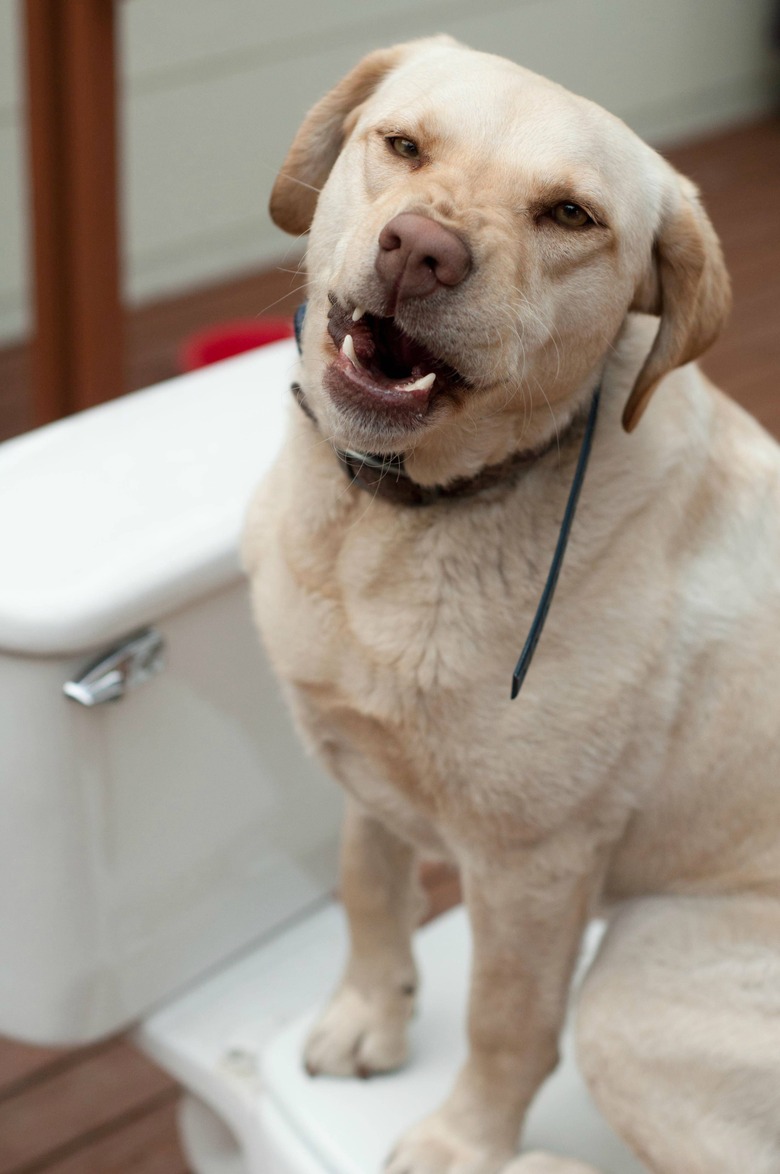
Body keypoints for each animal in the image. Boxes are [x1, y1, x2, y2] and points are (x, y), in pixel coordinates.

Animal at [246, 36, 780, 1174]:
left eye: (570, 215)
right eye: (403, 145)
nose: (421, 250)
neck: (389, 522)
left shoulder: (534, 863)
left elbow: (506, 1019)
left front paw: (463, 1141)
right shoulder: (362, 762)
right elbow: (367, 880)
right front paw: (371, 1012)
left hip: (635, 989)